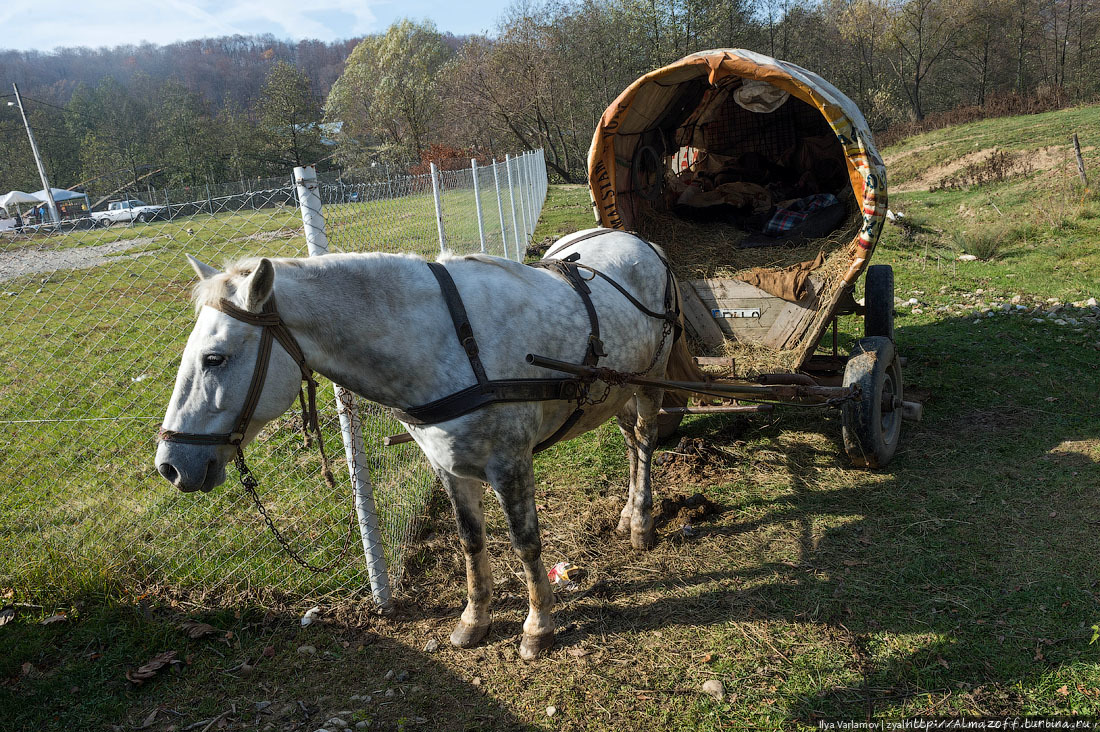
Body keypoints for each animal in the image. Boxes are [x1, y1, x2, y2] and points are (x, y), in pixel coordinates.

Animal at [152, 226, 704, 656]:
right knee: (630, 441)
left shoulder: (511, 464)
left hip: (649, 384)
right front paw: (474, 621)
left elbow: (526, 544)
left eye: (215, 358)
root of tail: (641, 241)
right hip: (616, 389)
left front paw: (538, 627)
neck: (449, 342)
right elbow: (471, 541)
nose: (171, 464)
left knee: (646, 442)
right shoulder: (450, 467)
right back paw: (628, 515)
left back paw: (643, 522)